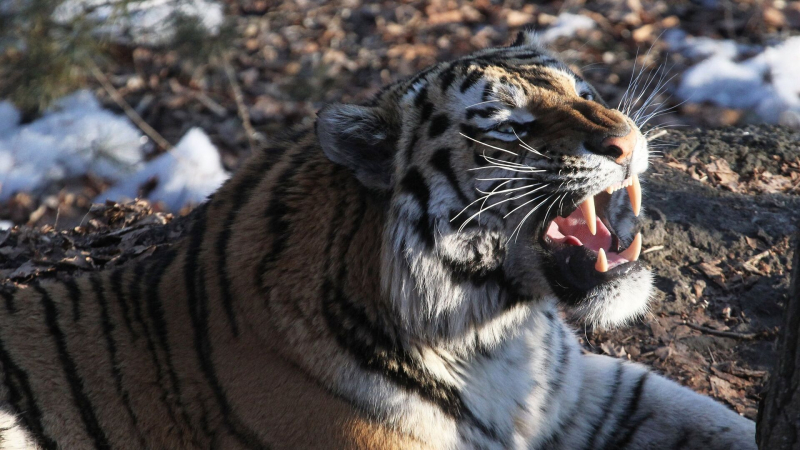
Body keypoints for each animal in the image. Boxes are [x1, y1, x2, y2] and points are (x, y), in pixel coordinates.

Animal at [0, 29, 756, 448]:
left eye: (585, 91)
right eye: (510, 126)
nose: (626, 141)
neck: (495, 336)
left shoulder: (588, 397)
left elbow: (716, 421)